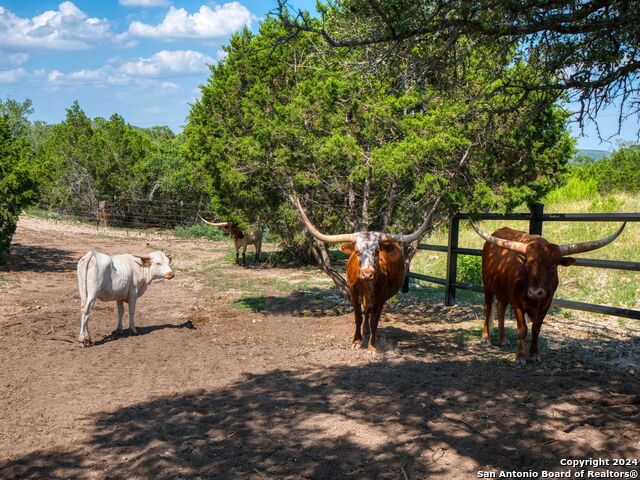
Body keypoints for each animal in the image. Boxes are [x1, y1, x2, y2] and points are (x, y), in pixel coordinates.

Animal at [294, 196, 436, 352]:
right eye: (357, 251)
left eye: (377, 251)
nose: (367, 274)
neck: (367, 284)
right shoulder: (354, 293)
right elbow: (358, 317)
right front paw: (356, 341)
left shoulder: (380, 297)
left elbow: (374, 320)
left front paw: (372, 347)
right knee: (365, 312)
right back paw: (365, 330)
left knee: (369, 312)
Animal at [470, 222, 624, 364]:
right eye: (528, 265)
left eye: (553, 267)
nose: (535, 292)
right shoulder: (516, 302)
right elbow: (522, 329)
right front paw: (520, 356)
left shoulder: (546, 303)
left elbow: (536, 329)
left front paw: (534, 355)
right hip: (487, 287)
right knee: (488, 308)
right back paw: (486, 338)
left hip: (503, 292)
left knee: (501, 308)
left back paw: (503, 339)